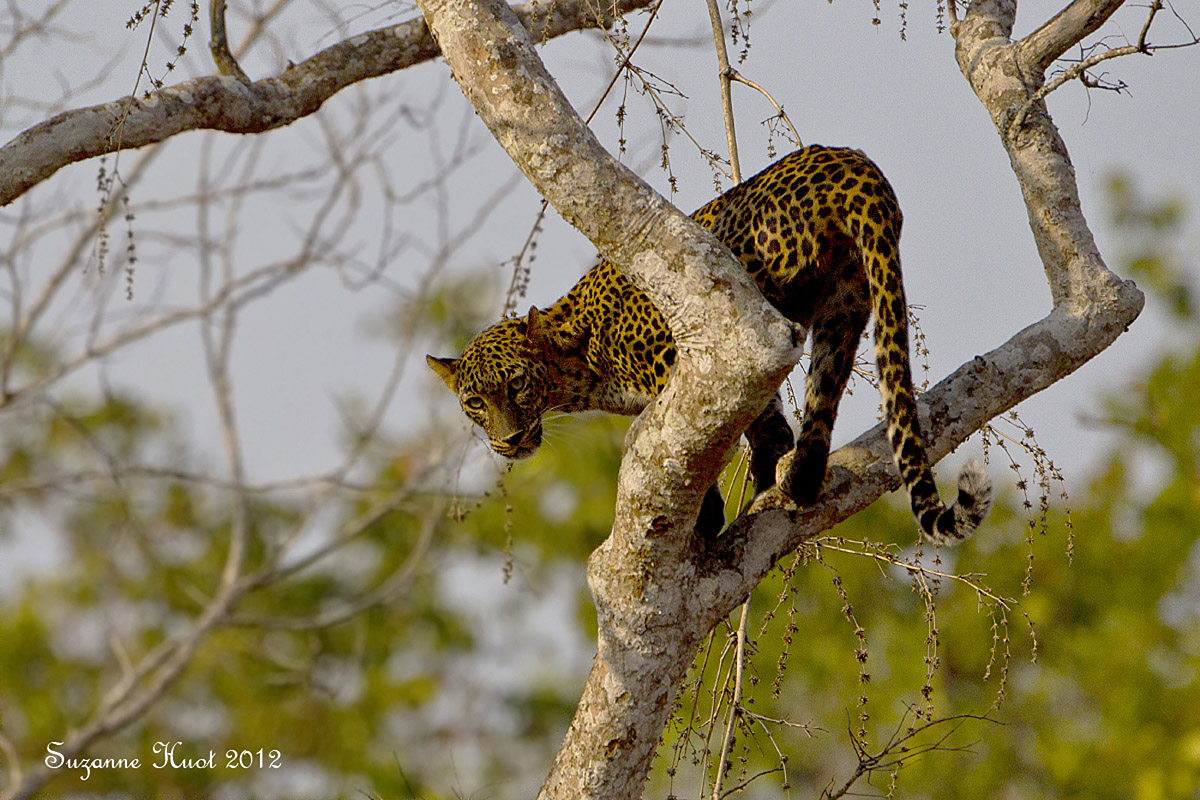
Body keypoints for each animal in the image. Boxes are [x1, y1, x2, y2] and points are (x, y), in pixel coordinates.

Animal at [427, 144, 992, 544]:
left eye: (517, 383)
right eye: (474, 402)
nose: (506, 440)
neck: (578, 363)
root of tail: (852, 164)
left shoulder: (671, 355)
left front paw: (708, 512)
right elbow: (763, 426)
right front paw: (749, 481)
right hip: (846, 303)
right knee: (816, 413)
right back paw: (794, 481)